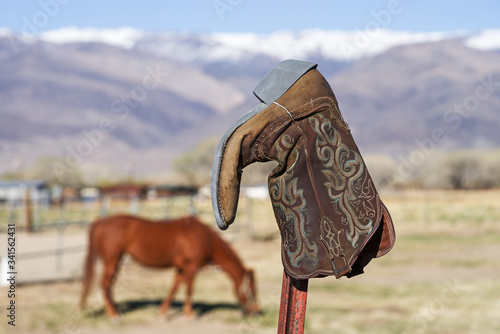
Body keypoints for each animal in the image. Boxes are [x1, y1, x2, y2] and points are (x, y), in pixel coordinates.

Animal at [80, 214, 260, 318]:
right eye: (250, 289)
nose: (255, 311)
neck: (203, 237)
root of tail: (98, 223)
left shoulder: (181, 269)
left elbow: (174, 288)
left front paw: (163, 311)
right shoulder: (192, 268)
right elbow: (189, 289)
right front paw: (190, 314)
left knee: (108, 286)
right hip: (112, 261)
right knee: (105, 284)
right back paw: (113, 314)